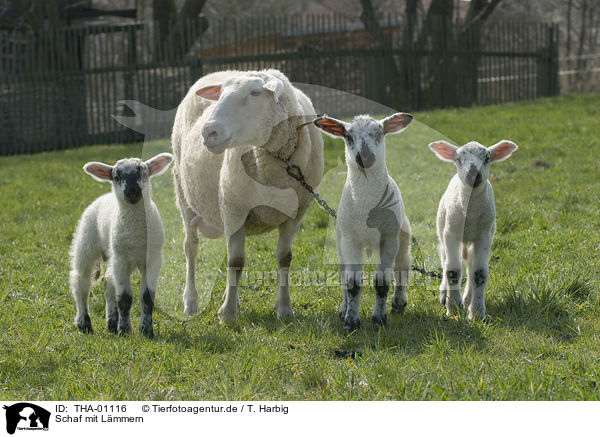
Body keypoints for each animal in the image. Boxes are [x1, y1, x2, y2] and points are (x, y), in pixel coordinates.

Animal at [70, 152, 175, 336]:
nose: (132, 190)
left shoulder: (153, 259)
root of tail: (104, 196)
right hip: (86, 242)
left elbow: (147, 297)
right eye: (116, 176)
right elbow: (125, 298)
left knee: (108, 282)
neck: (136, 236)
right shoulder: (122, 259)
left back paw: (111, 323)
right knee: (80, 282)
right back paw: (84, 324)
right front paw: (125, 330)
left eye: (144, 172)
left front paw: (146, 330)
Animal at [172, 68, 324, 322]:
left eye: (255, 93)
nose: (209, 131)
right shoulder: (234, 208)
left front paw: (284, 309)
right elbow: (235, 262)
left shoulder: (295, 215)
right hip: (183, 194)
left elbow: (284, 258)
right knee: (190, 248)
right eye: (221, 94)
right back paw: (191, 303)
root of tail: (216, 72)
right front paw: (227, 314)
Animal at [314, 112, 412, 330]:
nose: (364, 156)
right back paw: (343, 309)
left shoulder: (388, 238)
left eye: (379, 132)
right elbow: (352, 284)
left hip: (402, 236)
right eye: (348, 136)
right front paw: (351, 322)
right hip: (340, 242)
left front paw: (379, 319)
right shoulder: (350, 240)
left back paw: (398, 303)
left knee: (402, 268)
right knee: (344, 276)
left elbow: (382, 282)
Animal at [426, 141, 520, 318]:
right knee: (445, 261)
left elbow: (479, 273)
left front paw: (476, 312)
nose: (473, 175)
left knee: (470, 266)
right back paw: (444, 294)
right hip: (443, 231)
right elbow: (452, 270)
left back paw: (467, 298)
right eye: (458, 159)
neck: (470, 214)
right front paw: (453, 307)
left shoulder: (484, 236)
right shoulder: (451, 233)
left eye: (487, 158)